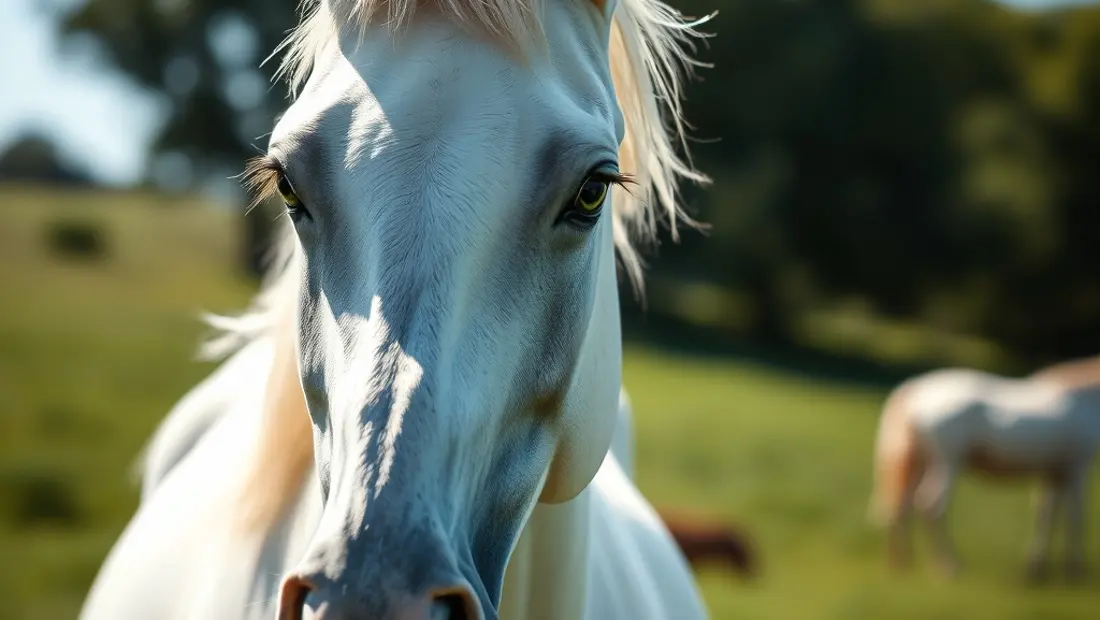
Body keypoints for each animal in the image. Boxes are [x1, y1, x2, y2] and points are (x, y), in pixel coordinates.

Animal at [868, 356, 1100, 582]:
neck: (1085, 398)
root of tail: (916, 389)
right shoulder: (1076, 469)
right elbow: (1075, 517)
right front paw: (1075, 571)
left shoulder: (1054, 472)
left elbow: (1046, 515)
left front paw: (1037, 569)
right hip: (945, 464)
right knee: (932, 505)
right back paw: (947, 566)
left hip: (917, 464)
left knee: (901, 506)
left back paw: (902, 563)